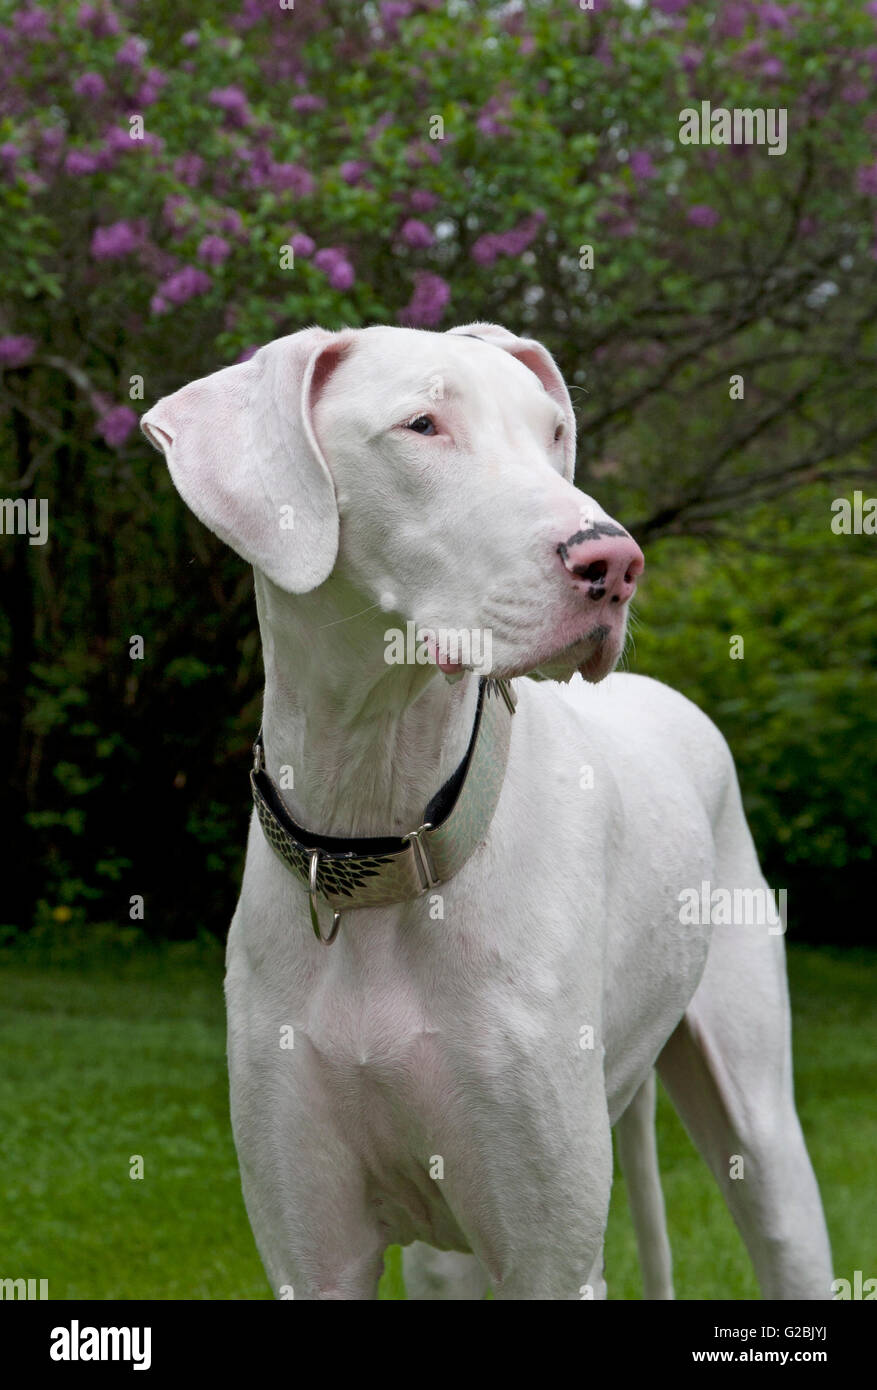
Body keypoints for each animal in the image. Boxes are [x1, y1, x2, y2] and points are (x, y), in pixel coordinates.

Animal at [142, 319, 828, 1295]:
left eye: (551, 433)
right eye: (422, 425)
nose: (615, 562)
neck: (382, 839)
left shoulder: (551, 1260)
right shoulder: (313, 1258)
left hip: (761, 1132)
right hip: (446, 1255)